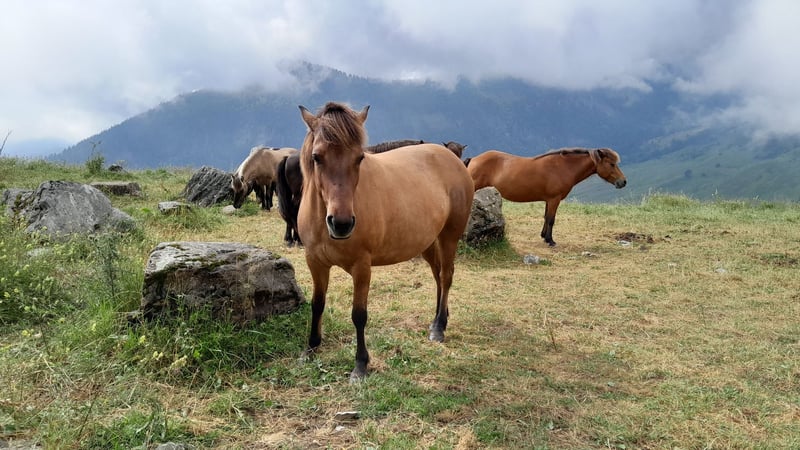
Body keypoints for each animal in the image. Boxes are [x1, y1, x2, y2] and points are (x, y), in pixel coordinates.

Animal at [297, 102, 474, 381]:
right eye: (317, 157)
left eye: (359, 157)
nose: (342, 223)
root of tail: (453, 159)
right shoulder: (315, 262)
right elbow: (317, 304)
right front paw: (311, 347)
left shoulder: (362, 267)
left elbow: (359, 315)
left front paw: (360, 365)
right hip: (428, 242)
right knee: (438, 276)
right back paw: (438, 318)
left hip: (449, 236)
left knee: (446, 276)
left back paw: (439, 327)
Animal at [466, 148, 627, 246]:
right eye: (611, 164)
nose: (623, 182)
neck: (563, 167)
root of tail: (474, 159)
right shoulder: (554, 199)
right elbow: (551, 219)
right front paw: (550, 240)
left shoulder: (548, 200)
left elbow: (545, 217)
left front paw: (544, 236)